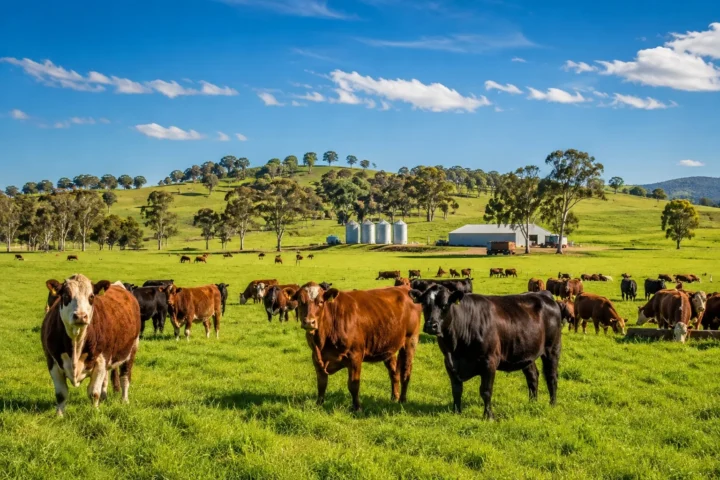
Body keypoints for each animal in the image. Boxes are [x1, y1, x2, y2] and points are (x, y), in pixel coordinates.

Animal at [41, 274, 140, 416]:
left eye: (91, 296)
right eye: (66, 295)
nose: (80, 316)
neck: (76, 343)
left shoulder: (101, 360)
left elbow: (94, 393)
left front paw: (95, 412)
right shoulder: (51, 361)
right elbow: (61, 394)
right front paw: (59, 415)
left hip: (132, 349)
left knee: (125, 377)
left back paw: (124, 400)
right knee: (105, 379)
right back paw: (104, 397)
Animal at [408, 286, 562, 418]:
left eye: (445, 305)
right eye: (424, 304)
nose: (431, 325)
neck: (456, 347)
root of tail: (543, 294)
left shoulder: (489, 362)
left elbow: (486, 390)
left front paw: (488, 416)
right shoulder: (449, 362)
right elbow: (456, 389)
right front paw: (456, 412)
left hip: (552, 349)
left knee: (551, 376)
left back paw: (552, 404)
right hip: (525, 352)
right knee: (533, 376)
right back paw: (532, 403)